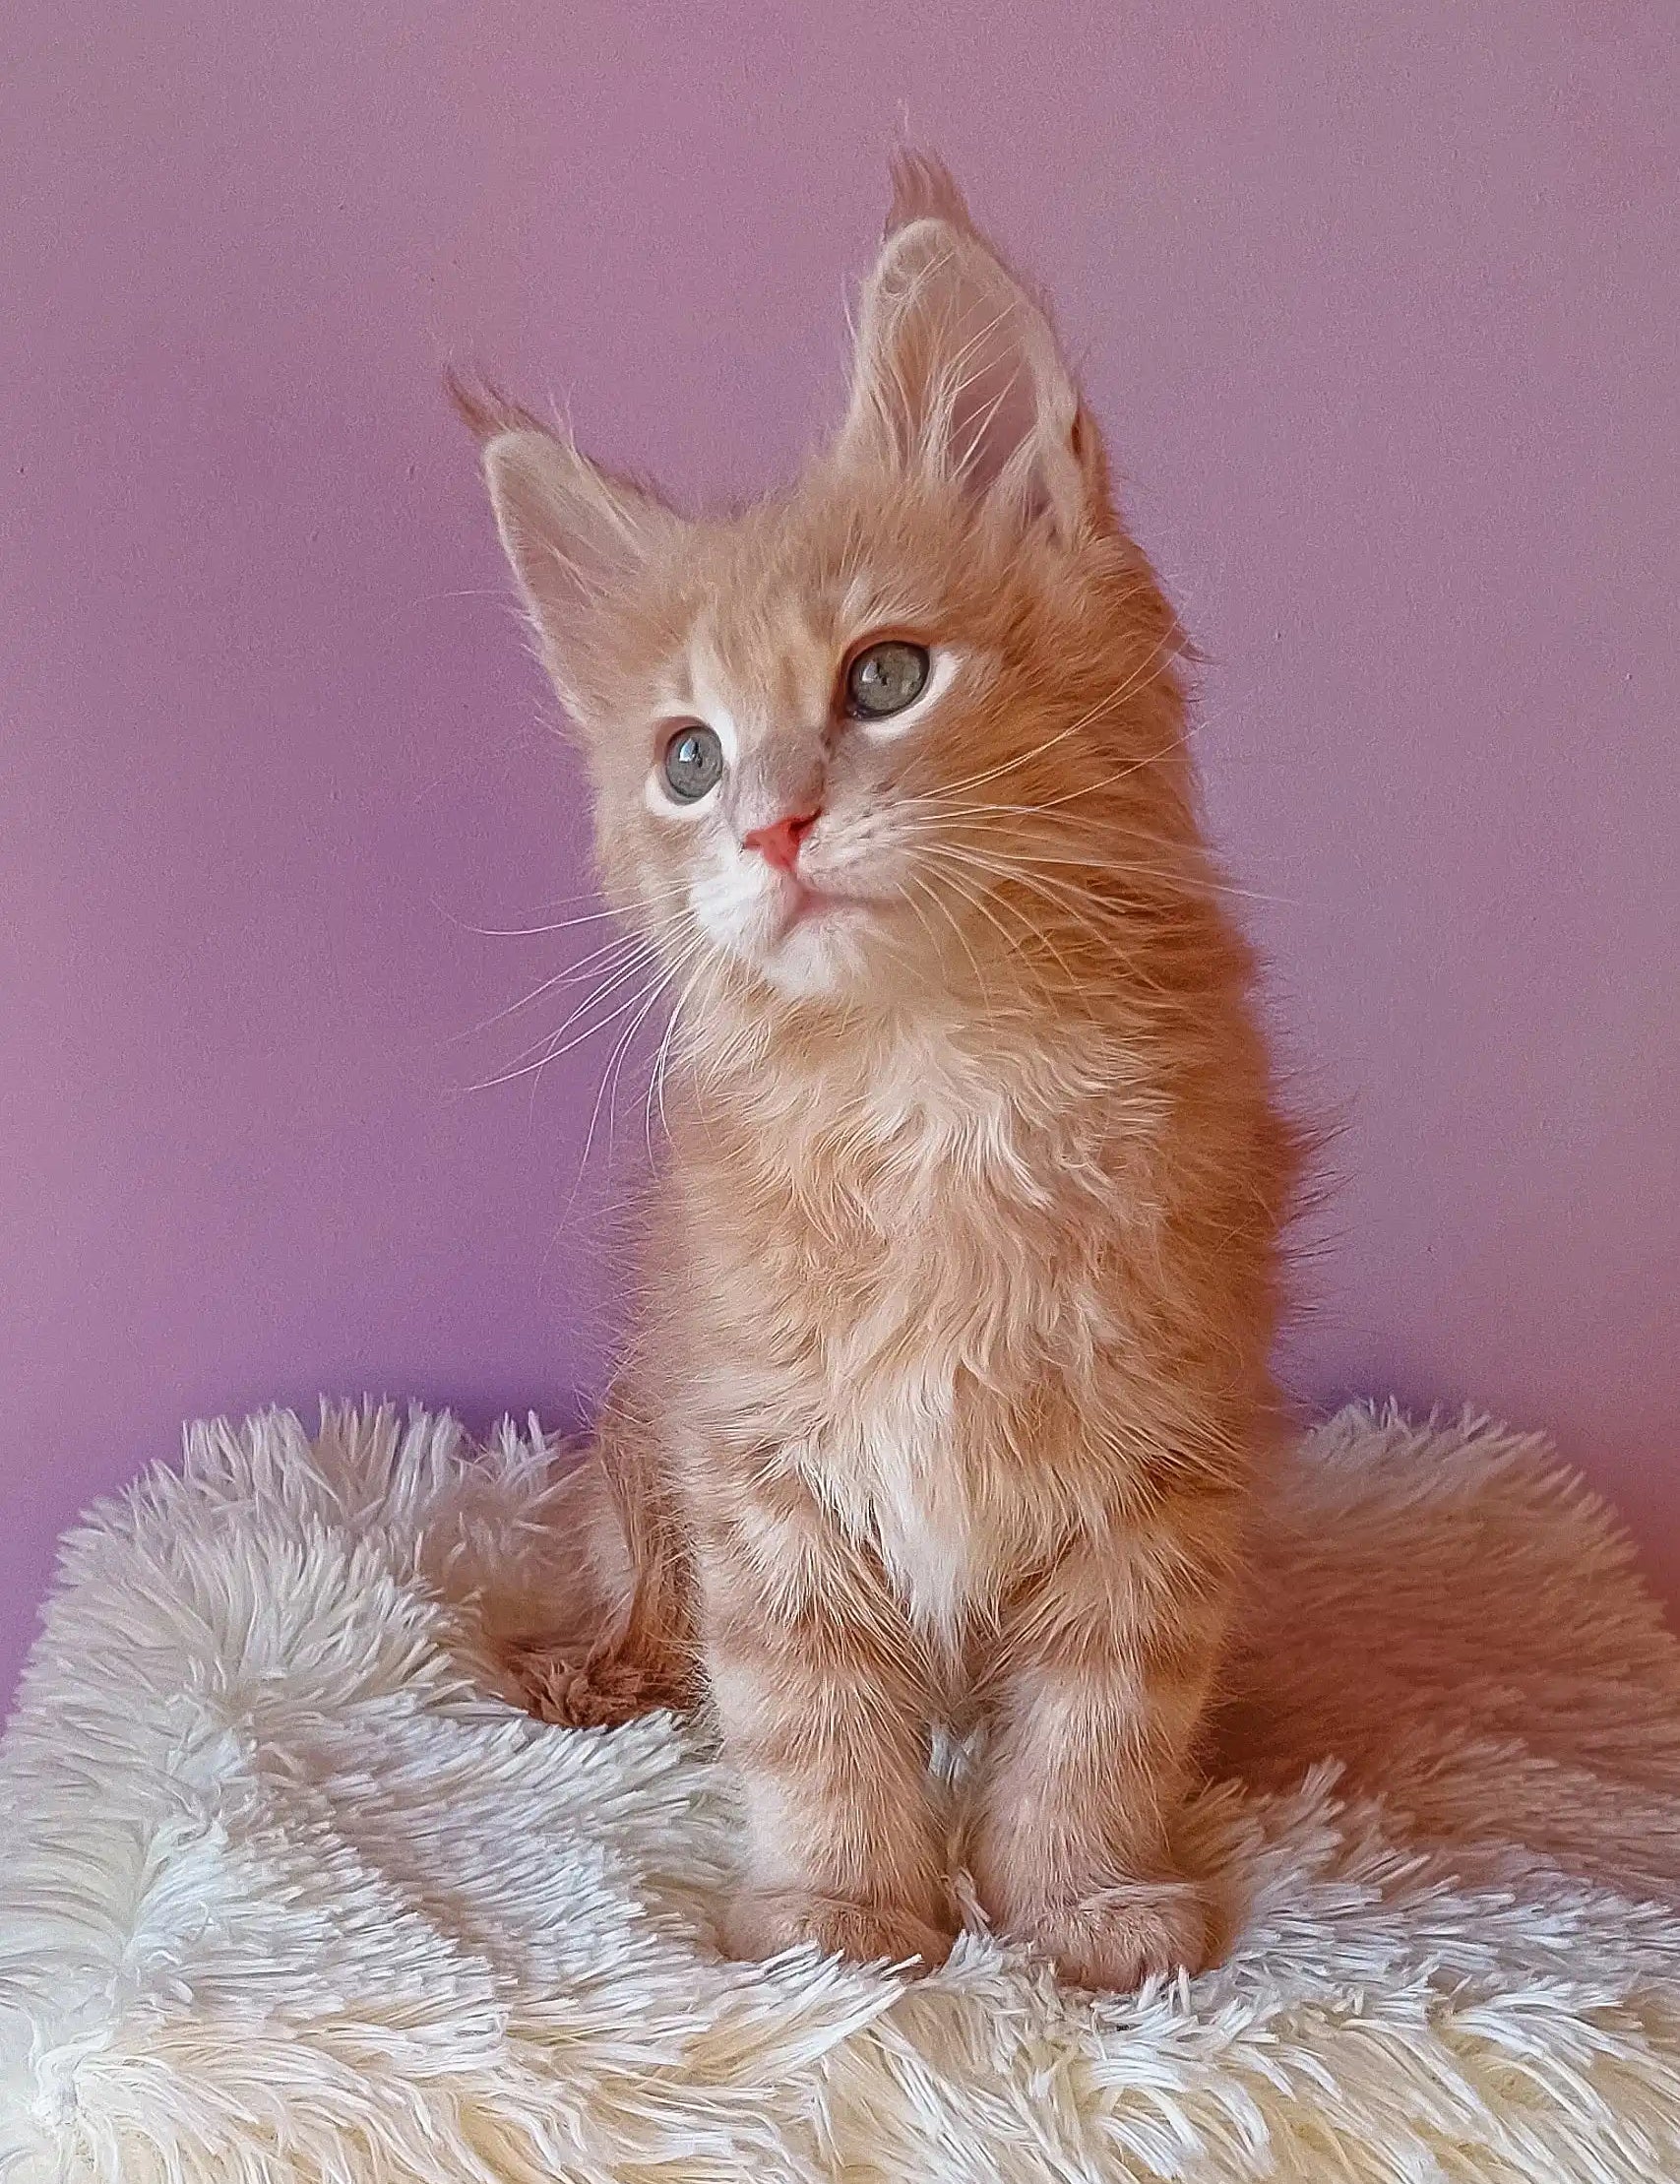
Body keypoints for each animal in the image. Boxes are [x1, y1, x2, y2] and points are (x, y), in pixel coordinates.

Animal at [459, 161, 1293, 1991]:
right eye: (687, 760)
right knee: (644, 1607)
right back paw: (596, 1663)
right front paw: (841, 1915)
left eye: (886, 676)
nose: (770, 823)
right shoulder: (757, 1458)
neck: (934, 1080)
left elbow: (1101, 1718)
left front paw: (1080, 1897)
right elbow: (809, 1715)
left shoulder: (1164, 1463)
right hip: (638, 1446)